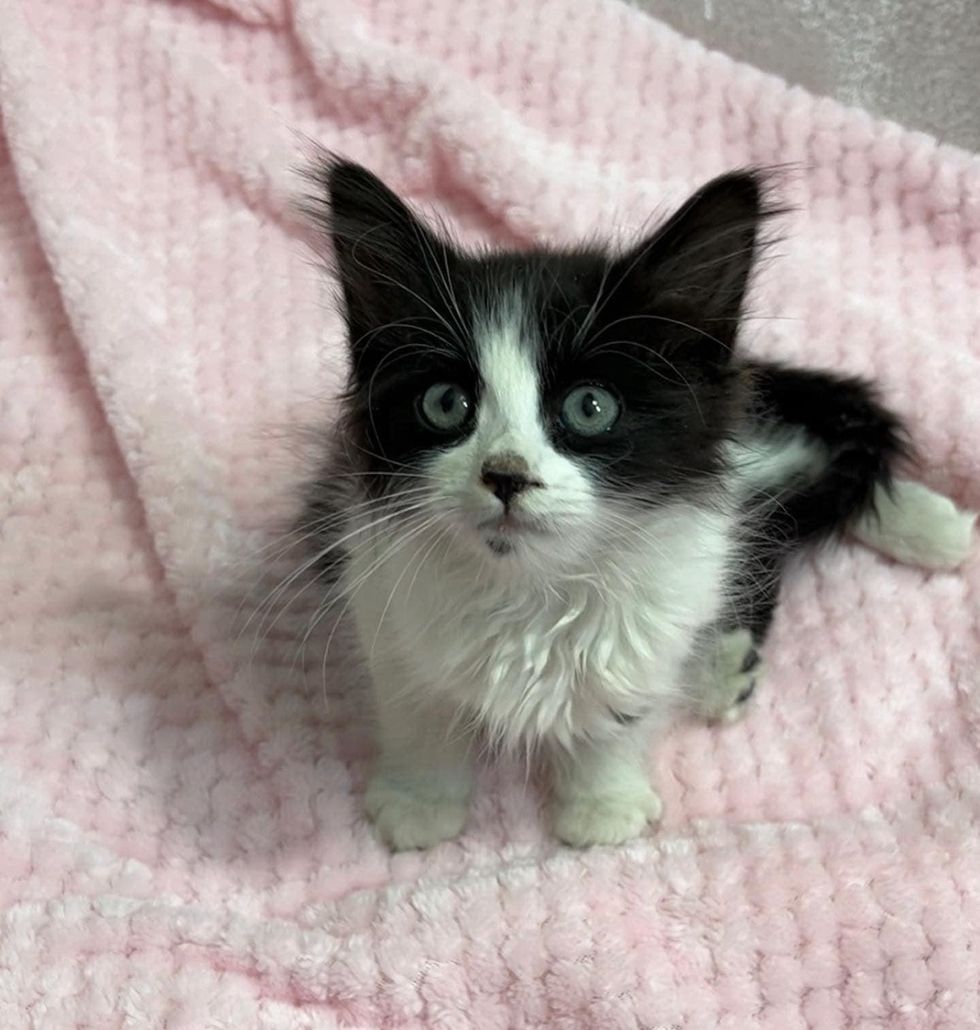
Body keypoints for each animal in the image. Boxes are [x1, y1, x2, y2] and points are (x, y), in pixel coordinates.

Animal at [296, 156, 972, 848]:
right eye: (444, 404)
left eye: (590, 407)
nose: (506, 475)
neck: (529, 585)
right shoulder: (380, 592)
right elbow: (419, 708)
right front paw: (421, 803)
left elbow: (619, 705)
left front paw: (601, 805)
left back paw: (926, 529)